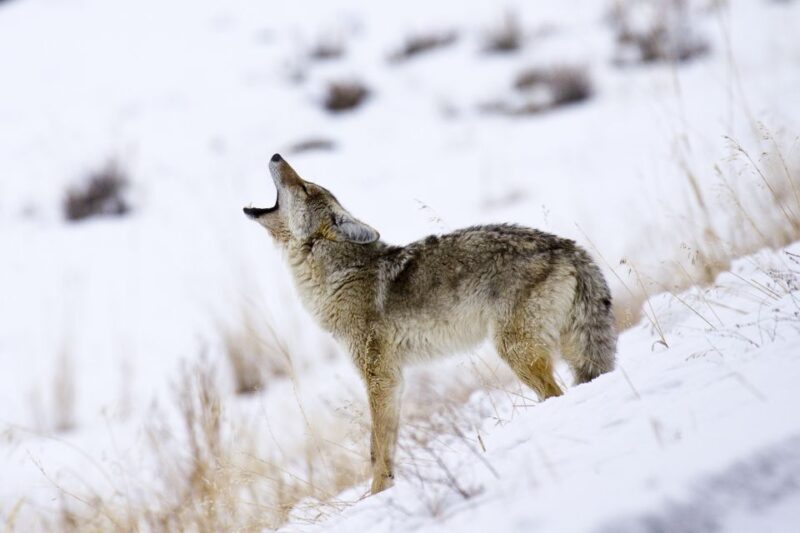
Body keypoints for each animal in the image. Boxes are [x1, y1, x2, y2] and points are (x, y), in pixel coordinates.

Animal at [244, 154, 617, 494]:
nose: (276, 155)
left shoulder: (380, 377)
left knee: (555, 393)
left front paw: (377, 494)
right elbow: (384, 446)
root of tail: (567, 246)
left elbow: (377, 448)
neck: (336, 275)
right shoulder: (394, 381)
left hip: (515, 351)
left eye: (305, 187)